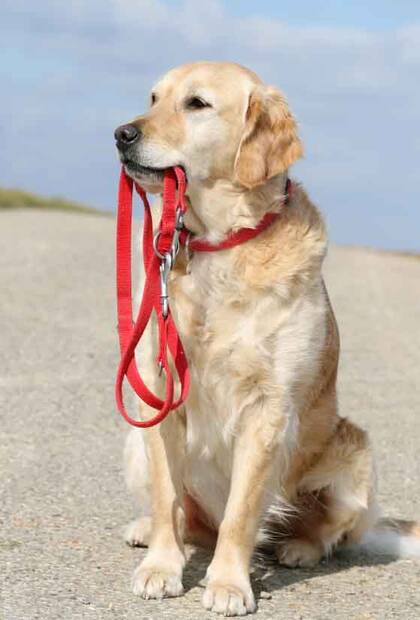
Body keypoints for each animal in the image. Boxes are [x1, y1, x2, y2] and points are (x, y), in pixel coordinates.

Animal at [113, 61, 418, 616]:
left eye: (197, 104)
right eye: (153, 98)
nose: (122, 133)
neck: (218, 244)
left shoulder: (267, 407)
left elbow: (242, 511)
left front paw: (229, 585)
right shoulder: (161, 393)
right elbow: (167, 495)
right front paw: (162, 568)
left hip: (357, 457)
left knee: (324, 533)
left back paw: (298, 548)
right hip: (133, 439)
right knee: (187, 519)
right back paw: (152, 532)